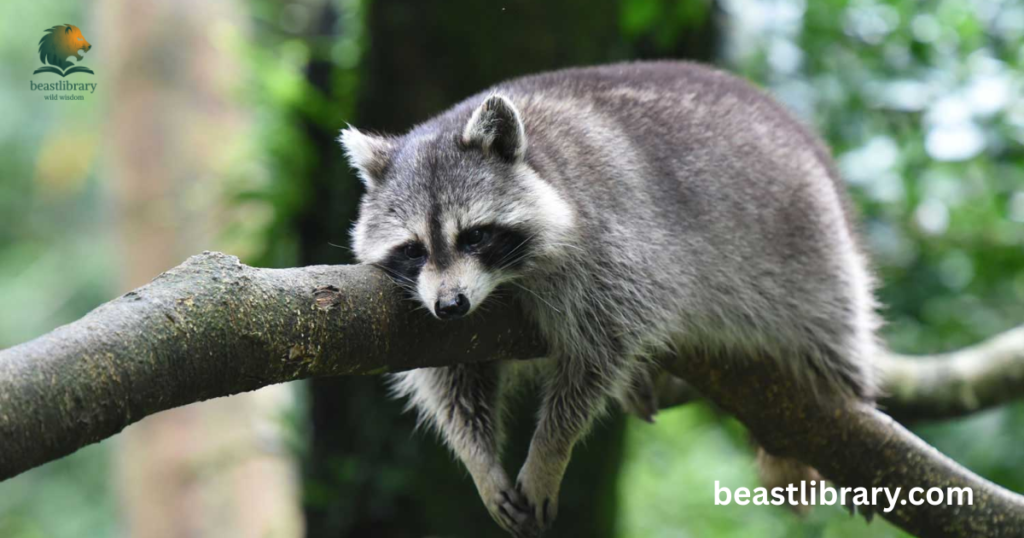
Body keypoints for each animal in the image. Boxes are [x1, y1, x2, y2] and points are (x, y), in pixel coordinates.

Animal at [342, 61, 880, 537]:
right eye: (413, 248)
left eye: (474, 236)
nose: (450, 306)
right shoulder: (442, 323)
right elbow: (452, 384)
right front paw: (479, 460)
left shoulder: (613, 249)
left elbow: (600, 354)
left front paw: (550, 449)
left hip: (815, 256)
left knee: (833, 342)